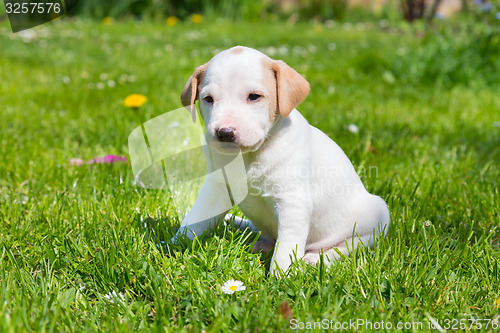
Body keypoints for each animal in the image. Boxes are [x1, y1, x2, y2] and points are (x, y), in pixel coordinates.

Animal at [176, 45, 390, 274]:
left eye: (254, 96)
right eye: (208, 99)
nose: (225, 132)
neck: (249, 157)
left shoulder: (292, 203)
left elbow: (286, 246)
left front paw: (282, 276)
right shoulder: (217, 189)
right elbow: (195, 219)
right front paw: (172, 244)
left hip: (376, 217)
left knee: (348, 247)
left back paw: (316, 258)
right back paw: (261, 245)